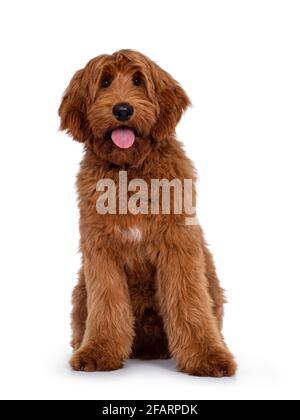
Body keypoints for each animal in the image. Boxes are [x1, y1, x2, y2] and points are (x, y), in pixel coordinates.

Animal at [58, 49, 237, 378]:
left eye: (138, 81)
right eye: (104, 82)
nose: (123, 109)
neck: (131, 170)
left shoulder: (178, 246)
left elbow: (189, 303)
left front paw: (207, 356)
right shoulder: (101, 253)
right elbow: (107, 305)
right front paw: (98, 352)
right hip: (80, 291)